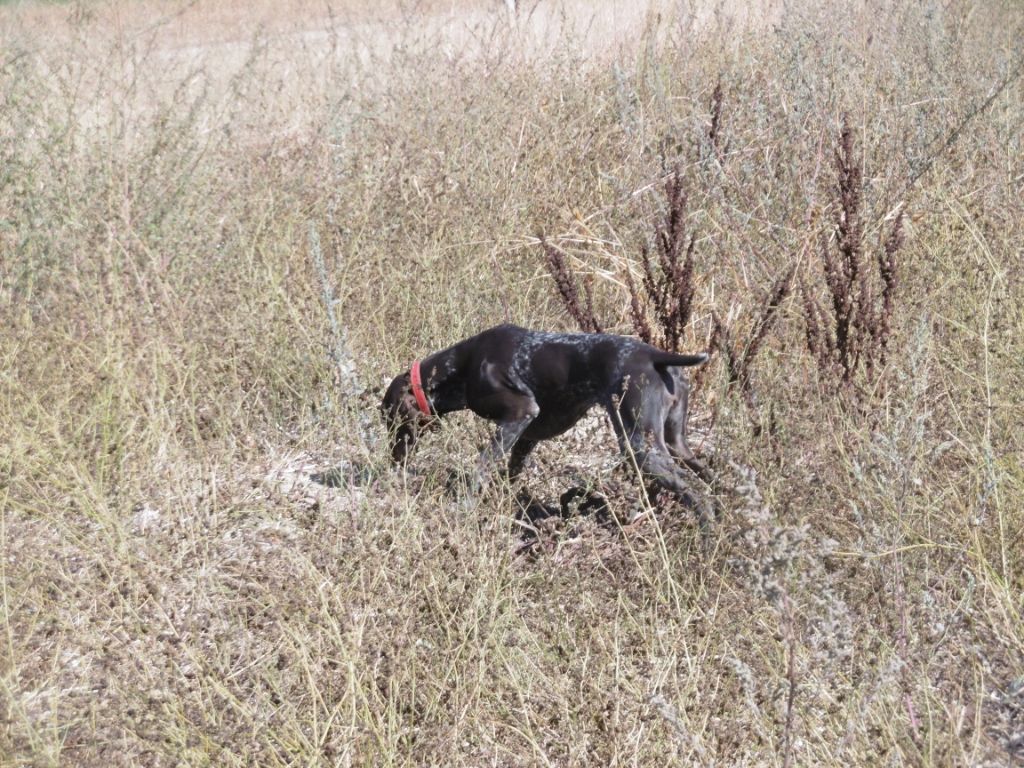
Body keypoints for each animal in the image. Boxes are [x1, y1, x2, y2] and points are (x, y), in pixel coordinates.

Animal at [382, 323, 712, 512]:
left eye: (389, 420)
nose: (393, 461)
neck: (461, 365)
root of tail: (655, 355)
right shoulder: (527, 436)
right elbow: (510, 474)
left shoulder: (521, 413)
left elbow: (482, 465)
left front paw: (463, 507)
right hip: (675, 443)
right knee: (708, 480)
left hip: (640, 447)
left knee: (696, 495)